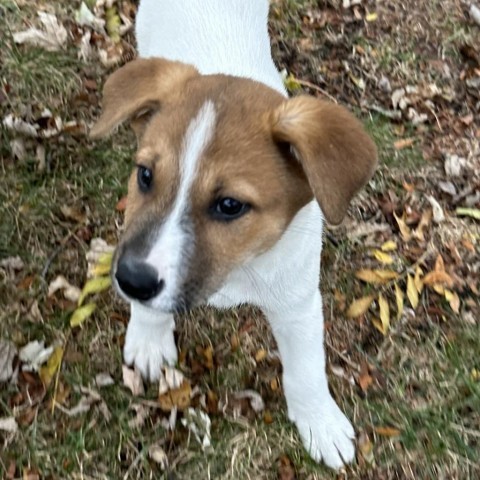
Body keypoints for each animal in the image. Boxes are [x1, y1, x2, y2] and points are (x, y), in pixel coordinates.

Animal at [89, 0, 376, 468]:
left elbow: (306, 368)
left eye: (229, 205)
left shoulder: (297, 300)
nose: (130, 281)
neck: (237, 269)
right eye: (145, 175)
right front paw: (148, 336)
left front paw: (320, 421)